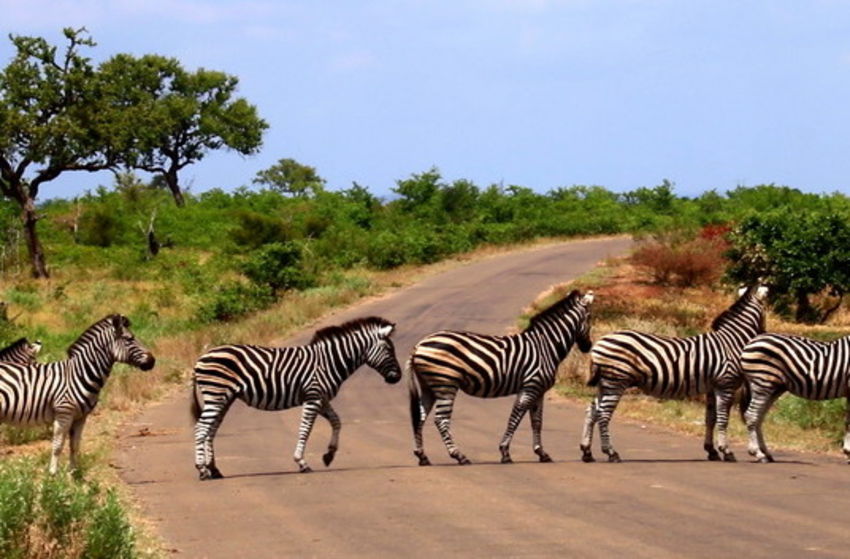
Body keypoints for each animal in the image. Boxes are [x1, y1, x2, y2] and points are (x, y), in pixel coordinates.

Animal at [0, 316, 156, 472]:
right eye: (129, 339)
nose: (153, 361)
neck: (79, 374)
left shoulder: (81, 417)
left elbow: (74, 445)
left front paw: (73, 473)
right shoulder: (63, 413)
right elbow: (57, 446)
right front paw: (52, 474)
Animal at [191, 318, 400, 480]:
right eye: (389, 350)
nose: (397, 377)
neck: (329, 362)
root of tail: (201, 358)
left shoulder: (321, 398)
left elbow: (336, 421)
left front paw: (329, 454)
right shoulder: (313, 397)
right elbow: (305, 429)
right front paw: (302, 462)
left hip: (224, 398)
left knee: (211, 429)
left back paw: (214, 469)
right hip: (216, 395)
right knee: (201, 428)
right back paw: (202, 470)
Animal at [404, 290, 588, 466]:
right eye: (589, 319)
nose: (587, 347)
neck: (545, 346)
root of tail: (418, 346)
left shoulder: (539, 390)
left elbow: (536, 421)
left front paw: (541, 453)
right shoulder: (531, 385)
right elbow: (515, 417)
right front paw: (505, 452)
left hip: (429, 387)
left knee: (420, 418)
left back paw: (422, 456)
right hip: (445, 384)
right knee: (440, 420)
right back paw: (459, 456)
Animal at [580, 284, 764, 464]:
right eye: (764, 316)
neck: (729, 342)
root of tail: (598, 344)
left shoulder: (713, 387)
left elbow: (710, 418)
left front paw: (711, 451)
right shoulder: (726, 384)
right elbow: (723, 419)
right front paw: (726, 451)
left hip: (605, 383)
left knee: (593, 411)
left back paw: (587, 452)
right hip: (616, 381)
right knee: (603, 415)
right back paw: (611, 453)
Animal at [732, 332, 850, 464]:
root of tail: (751, 342)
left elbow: (847, 421)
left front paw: (847, 451)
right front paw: (848, 452)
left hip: (774, 388)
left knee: (759, 417)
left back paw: (766, 453)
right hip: (763, 382)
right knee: (751, 415)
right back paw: (757, 453)